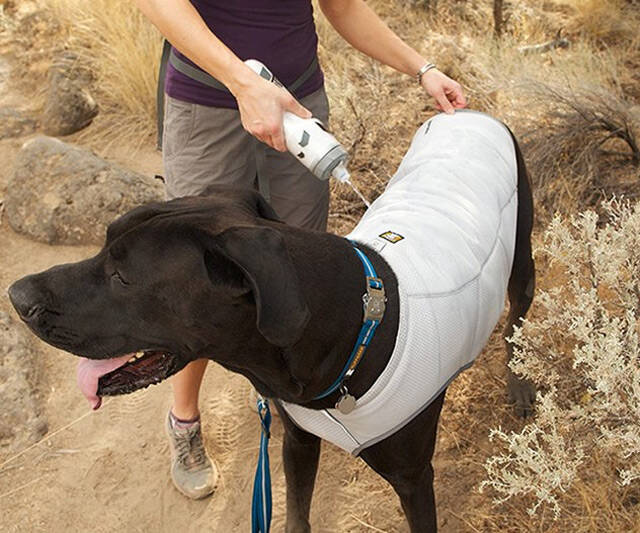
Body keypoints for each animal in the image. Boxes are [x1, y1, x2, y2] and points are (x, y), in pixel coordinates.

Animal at [8, 123, 536, 528]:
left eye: (122, 277)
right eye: (104, 243)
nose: (17, 297)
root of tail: (465, 112)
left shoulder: (413, 479)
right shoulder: (297, 443)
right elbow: (296, 513)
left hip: (521, 256)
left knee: (518, 318)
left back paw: (521, 384)